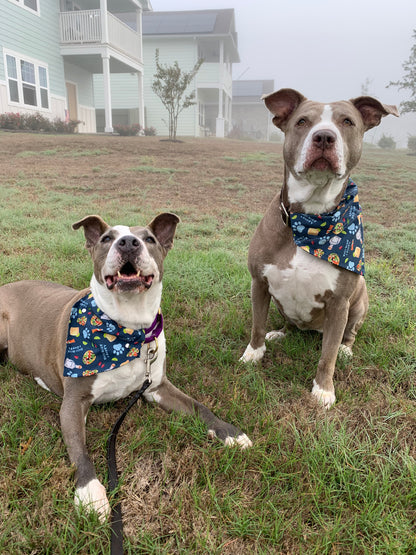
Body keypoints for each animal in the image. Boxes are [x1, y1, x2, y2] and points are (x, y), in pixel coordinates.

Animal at [0, 213, 250, 520]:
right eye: (107, 238)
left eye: (149, 239)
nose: (129, 242)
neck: (129, 329)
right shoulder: (73, 402)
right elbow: (79, 450)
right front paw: (90, 492)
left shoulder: (157, 387)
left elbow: (199, 406)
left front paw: (229, 433)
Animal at [240, 87, 400, 408]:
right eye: (302, 121)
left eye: (348, 121)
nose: (324, 136)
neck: (311, 219)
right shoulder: (259, 282)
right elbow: (257, 324)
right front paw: (253, 353)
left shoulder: (339, 303)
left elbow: (328, 356)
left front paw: (324, 390)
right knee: (289, 322)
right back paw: (281, 333)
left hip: (360, 300)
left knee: (349, 334)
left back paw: (347, 349)